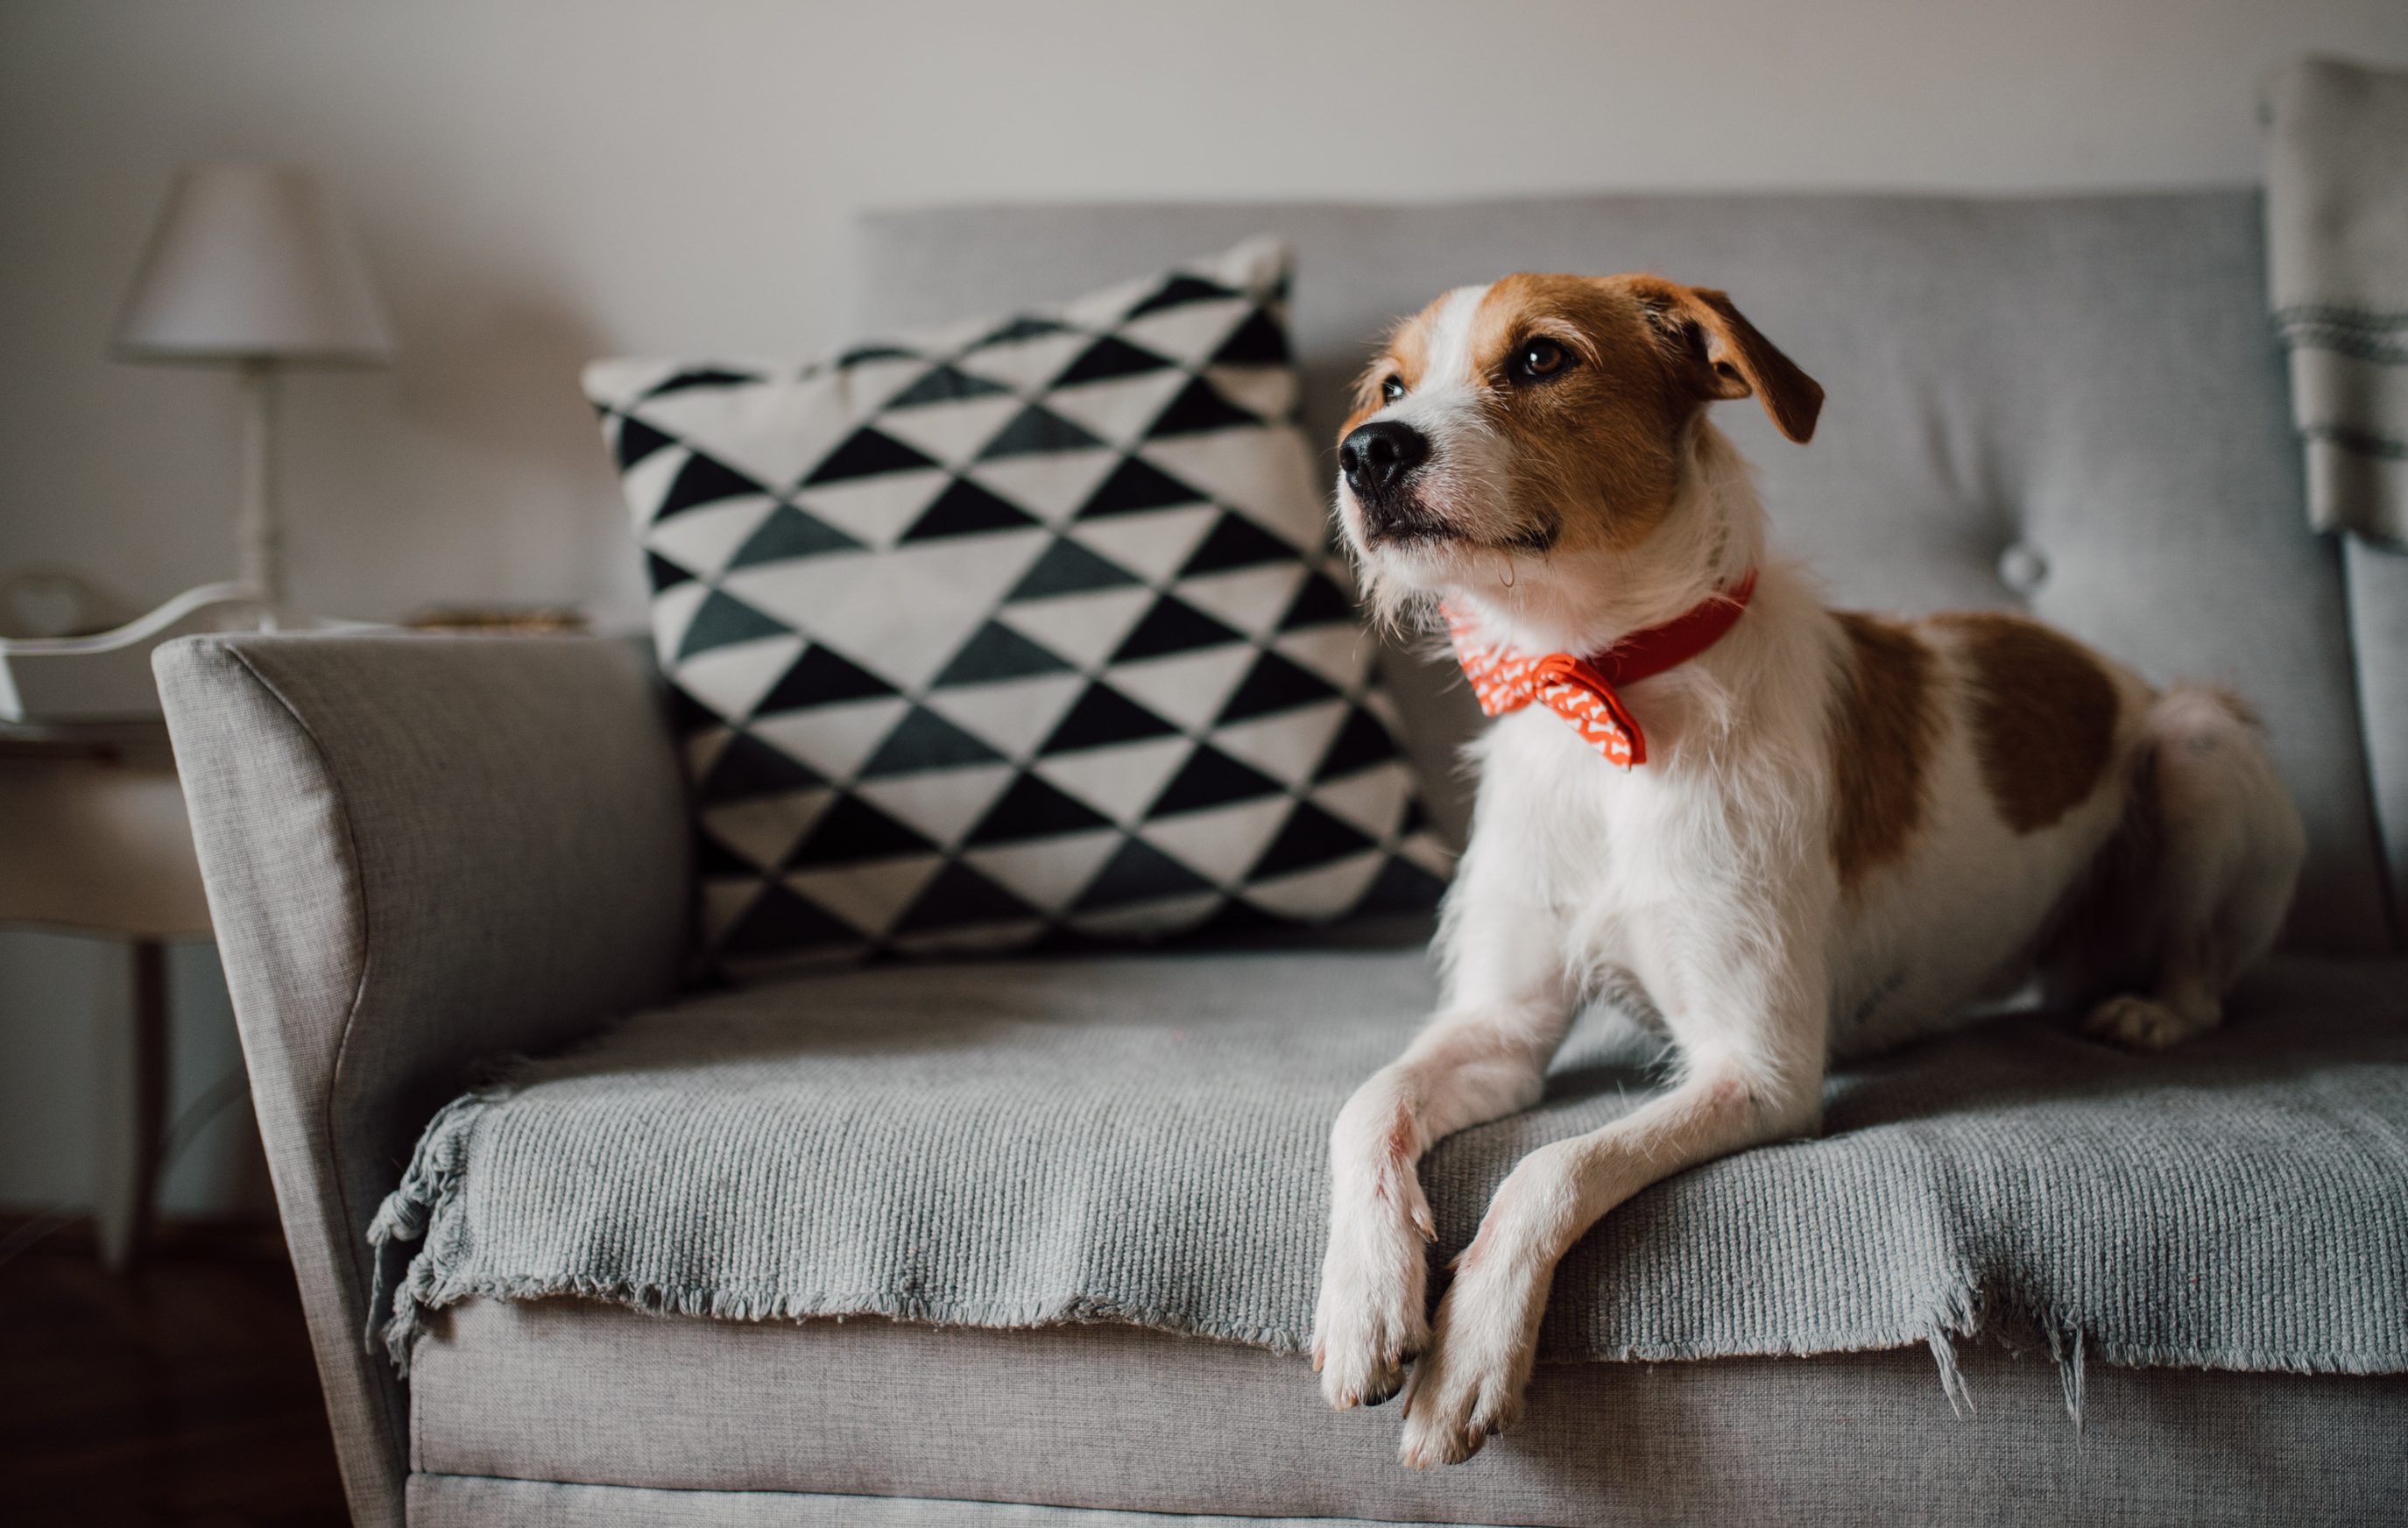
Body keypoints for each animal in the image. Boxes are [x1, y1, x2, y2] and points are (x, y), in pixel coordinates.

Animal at [1312, 273, 2307, 1468]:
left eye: (1543, 358)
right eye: (1390, 387)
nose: (1365, 452)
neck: (1602, 693)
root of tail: (2119, 674)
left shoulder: (1758, 1070)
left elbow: (1550, 1166)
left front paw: (1471, 1346)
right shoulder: (1499, 1029)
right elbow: (1366, 1103)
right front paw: (1364, 1300)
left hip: (2199, 744)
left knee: (2204, 973)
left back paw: (2152, 1009)